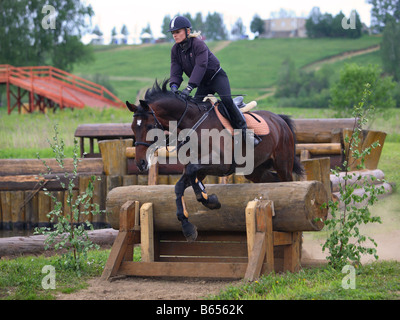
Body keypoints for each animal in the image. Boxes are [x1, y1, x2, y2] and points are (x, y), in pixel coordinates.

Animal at [126, 79, 302, 240]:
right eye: (133, 128)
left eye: (149, 127)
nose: (140, 163)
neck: (191, 124)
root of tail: (279, 119)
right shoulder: (200, 168)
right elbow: (180, 185)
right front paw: (188, 225)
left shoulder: (221, 164)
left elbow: (192, 174)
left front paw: (209, 199)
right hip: (255, 171)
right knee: (272, 181)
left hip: (283, 164)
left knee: (286, 181)